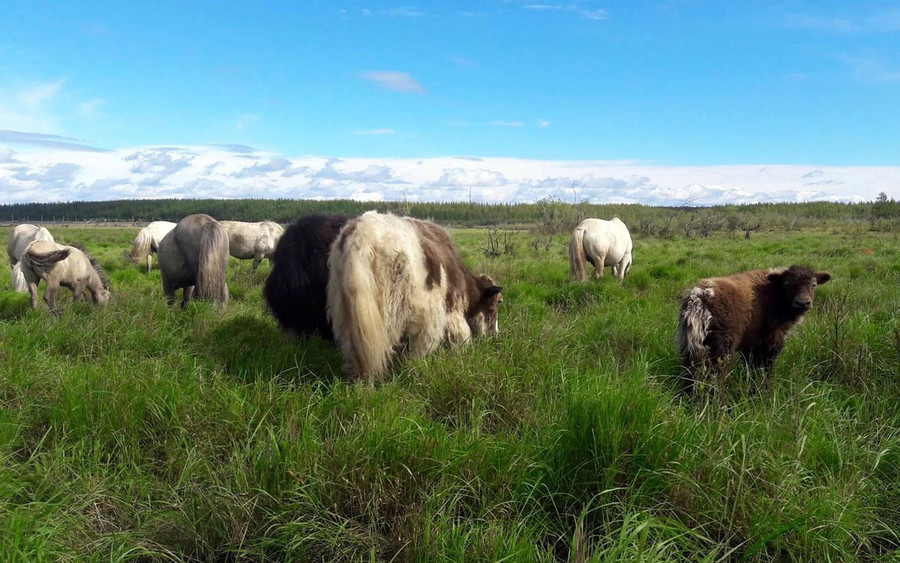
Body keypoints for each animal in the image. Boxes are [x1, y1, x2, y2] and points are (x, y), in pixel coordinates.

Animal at [326, 212, 502, 384]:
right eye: (494, 306)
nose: (495, 335)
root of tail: (359, 236)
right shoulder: (444, 310)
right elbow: (450, 335)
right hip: (388, 312)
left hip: (345, 310)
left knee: (353, 346)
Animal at [676, 264, 828, 396]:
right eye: (787, 284)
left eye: (813, 285)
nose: (803, 303)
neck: (774, 292)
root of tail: (698, 299)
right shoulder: (770, 343)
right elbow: (765, 369)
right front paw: (765, 390)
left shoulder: (749, 345)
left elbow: (749, 368)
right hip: (720, 351)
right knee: (714, 378)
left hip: (692, 349)